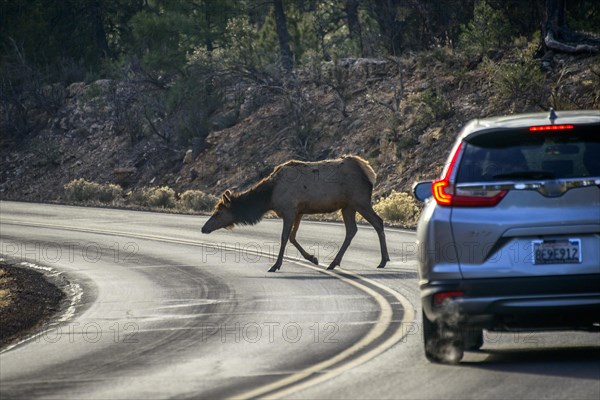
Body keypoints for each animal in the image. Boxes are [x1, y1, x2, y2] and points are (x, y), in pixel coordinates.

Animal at [199, 156, 392, 272]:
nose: (203, 228)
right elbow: (292, 237)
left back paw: (383, 260)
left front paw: (276, 265)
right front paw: (313, 258)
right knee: (352, 230)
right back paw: (333, 263)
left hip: (360, 201)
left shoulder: (289, 209)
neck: (268, 197)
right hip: (347, 206)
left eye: (218, 211)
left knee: (378, 222)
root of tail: (369, 173)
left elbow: (284, 237)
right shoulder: (299, 211)